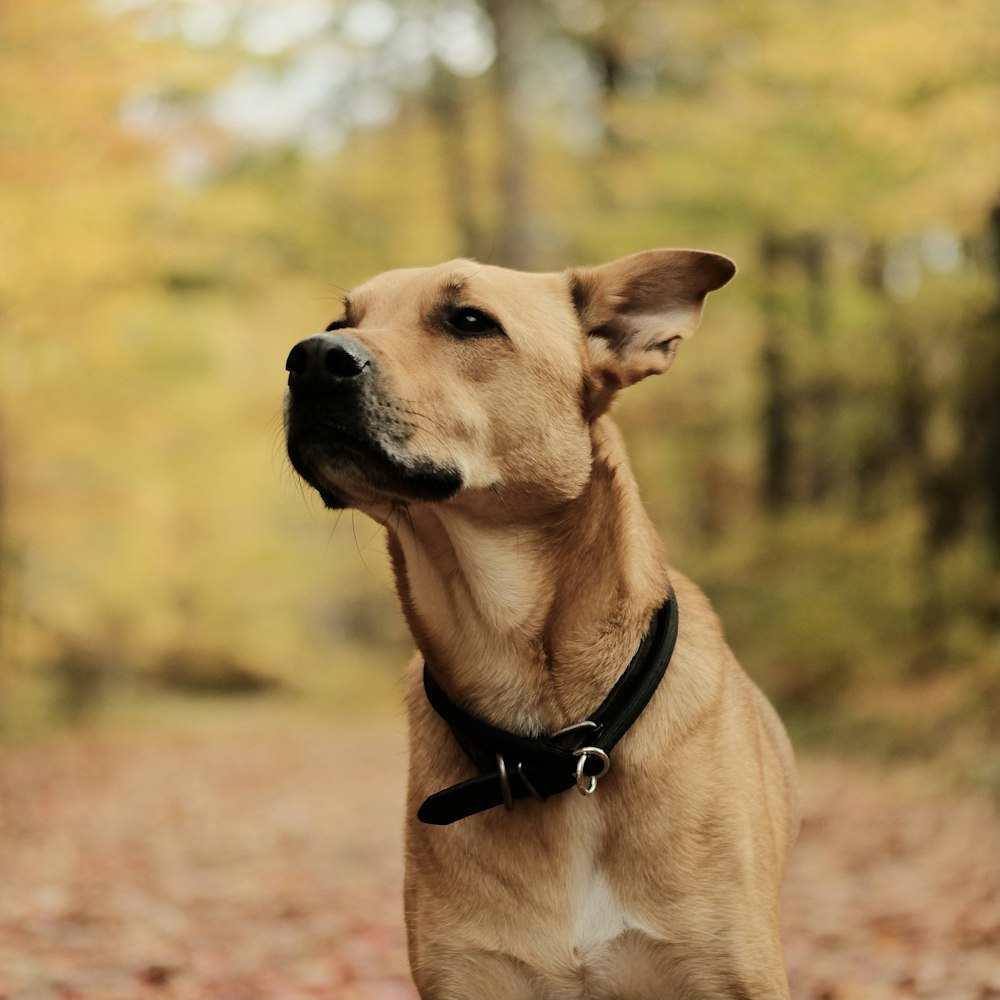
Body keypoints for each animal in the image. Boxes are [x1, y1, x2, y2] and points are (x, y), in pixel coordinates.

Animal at [286, 250, 800, 1000]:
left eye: (470, 321)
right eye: (338, 322)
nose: (311, 357)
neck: (556, 746)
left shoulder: (727, 972)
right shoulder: (470, 974)